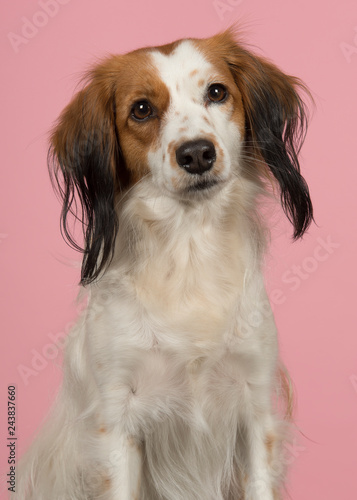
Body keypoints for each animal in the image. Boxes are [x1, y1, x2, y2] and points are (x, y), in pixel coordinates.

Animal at [14, 28, 312, 500]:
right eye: (141, 109)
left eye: (216, 92)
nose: (197, 154)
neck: (187, 252)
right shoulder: (117, 421)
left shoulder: (254, 403)